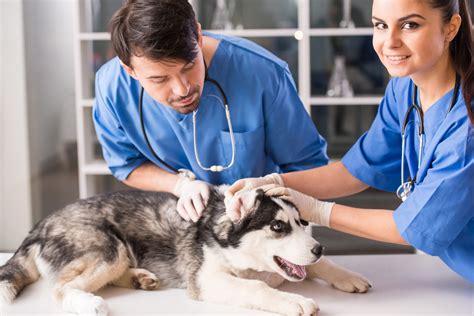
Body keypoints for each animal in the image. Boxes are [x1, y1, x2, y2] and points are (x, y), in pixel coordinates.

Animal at [0, 188, 370, 316]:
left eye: (302, 222)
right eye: (278, 227)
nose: (319, 247)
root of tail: (40, 223)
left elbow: (319, 267)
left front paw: (348, 276)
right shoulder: (206, 280)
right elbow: (256, 287)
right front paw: (295, 301)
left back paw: (140, 278)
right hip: (109, 248)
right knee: (62, 288)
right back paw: (90, 303)